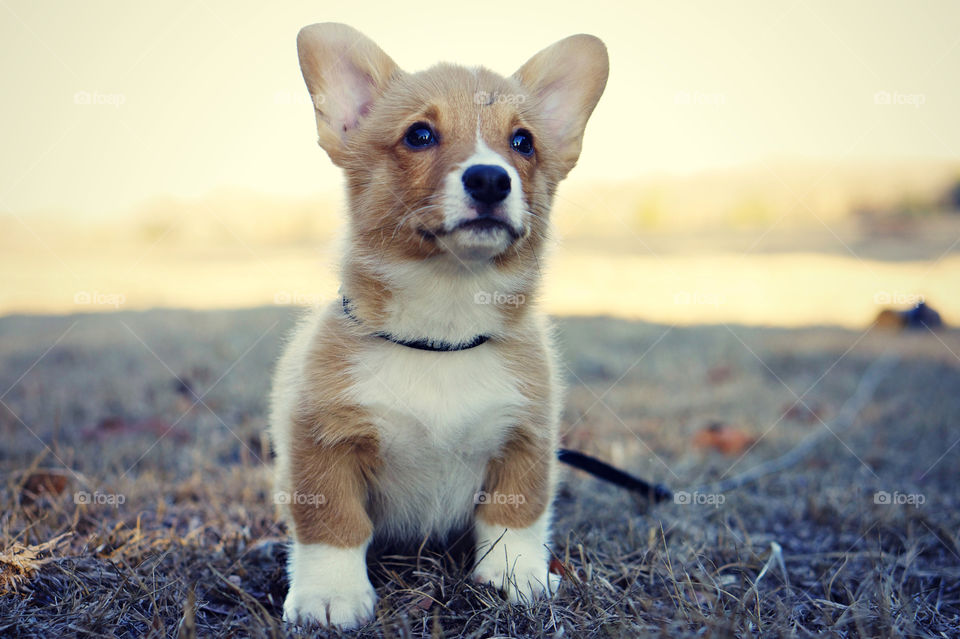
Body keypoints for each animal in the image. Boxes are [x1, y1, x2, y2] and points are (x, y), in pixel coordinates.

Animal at [266, 22, 604, 628]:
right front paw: (331, 597)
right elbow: (334, 522)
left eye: (523, 142)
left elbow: (515, 514)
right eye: (420, 135)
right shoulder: (320, 439)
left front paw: (516, 577)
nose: (490, 180)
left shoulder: (527, 438)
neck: (443, 332)